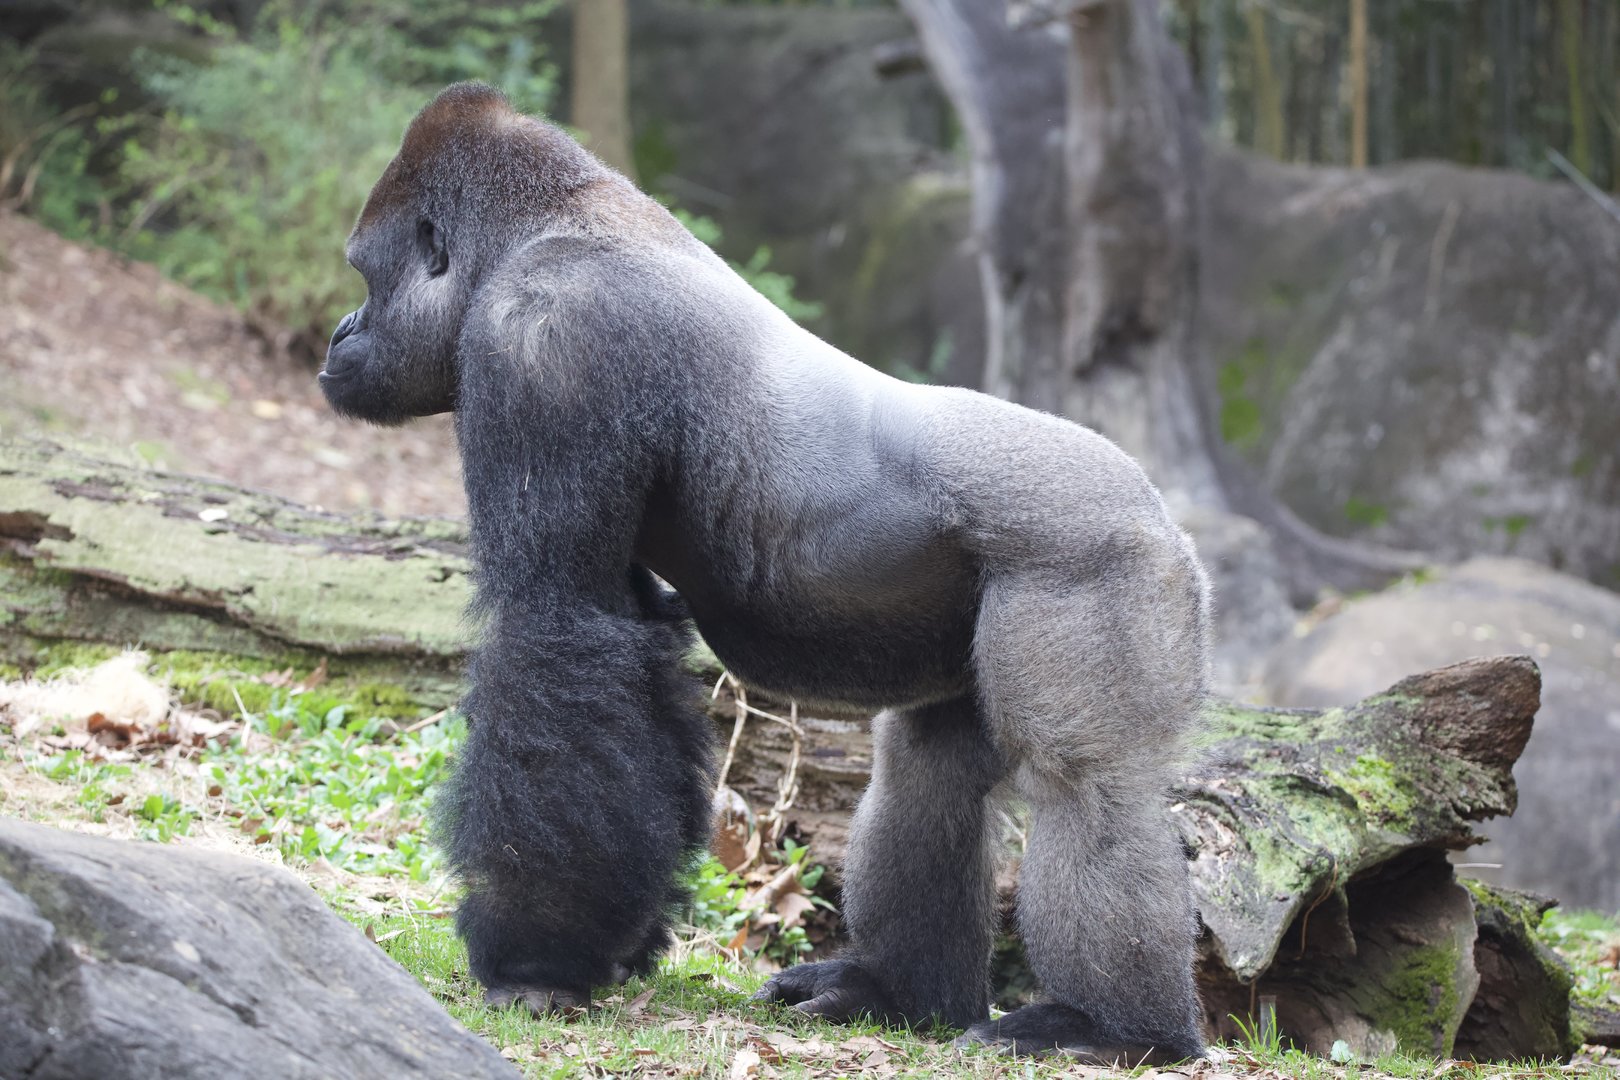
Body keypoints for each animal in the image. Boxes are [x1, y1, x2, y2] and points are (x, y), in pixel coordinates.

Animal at [320, 83, 1211, 1063]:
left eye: (366, 276)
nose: (340, 332)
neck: (544, 224)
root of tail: (1167, 517)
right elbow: (626, 654)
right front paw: (618, 938)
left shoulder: (544, 339)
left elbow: (553, 629)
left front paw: (534, 957)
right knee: (927, 770)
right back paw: (898, 992)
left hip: (1102, 557)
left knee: (1085, 784)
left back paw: (1110, 1025)